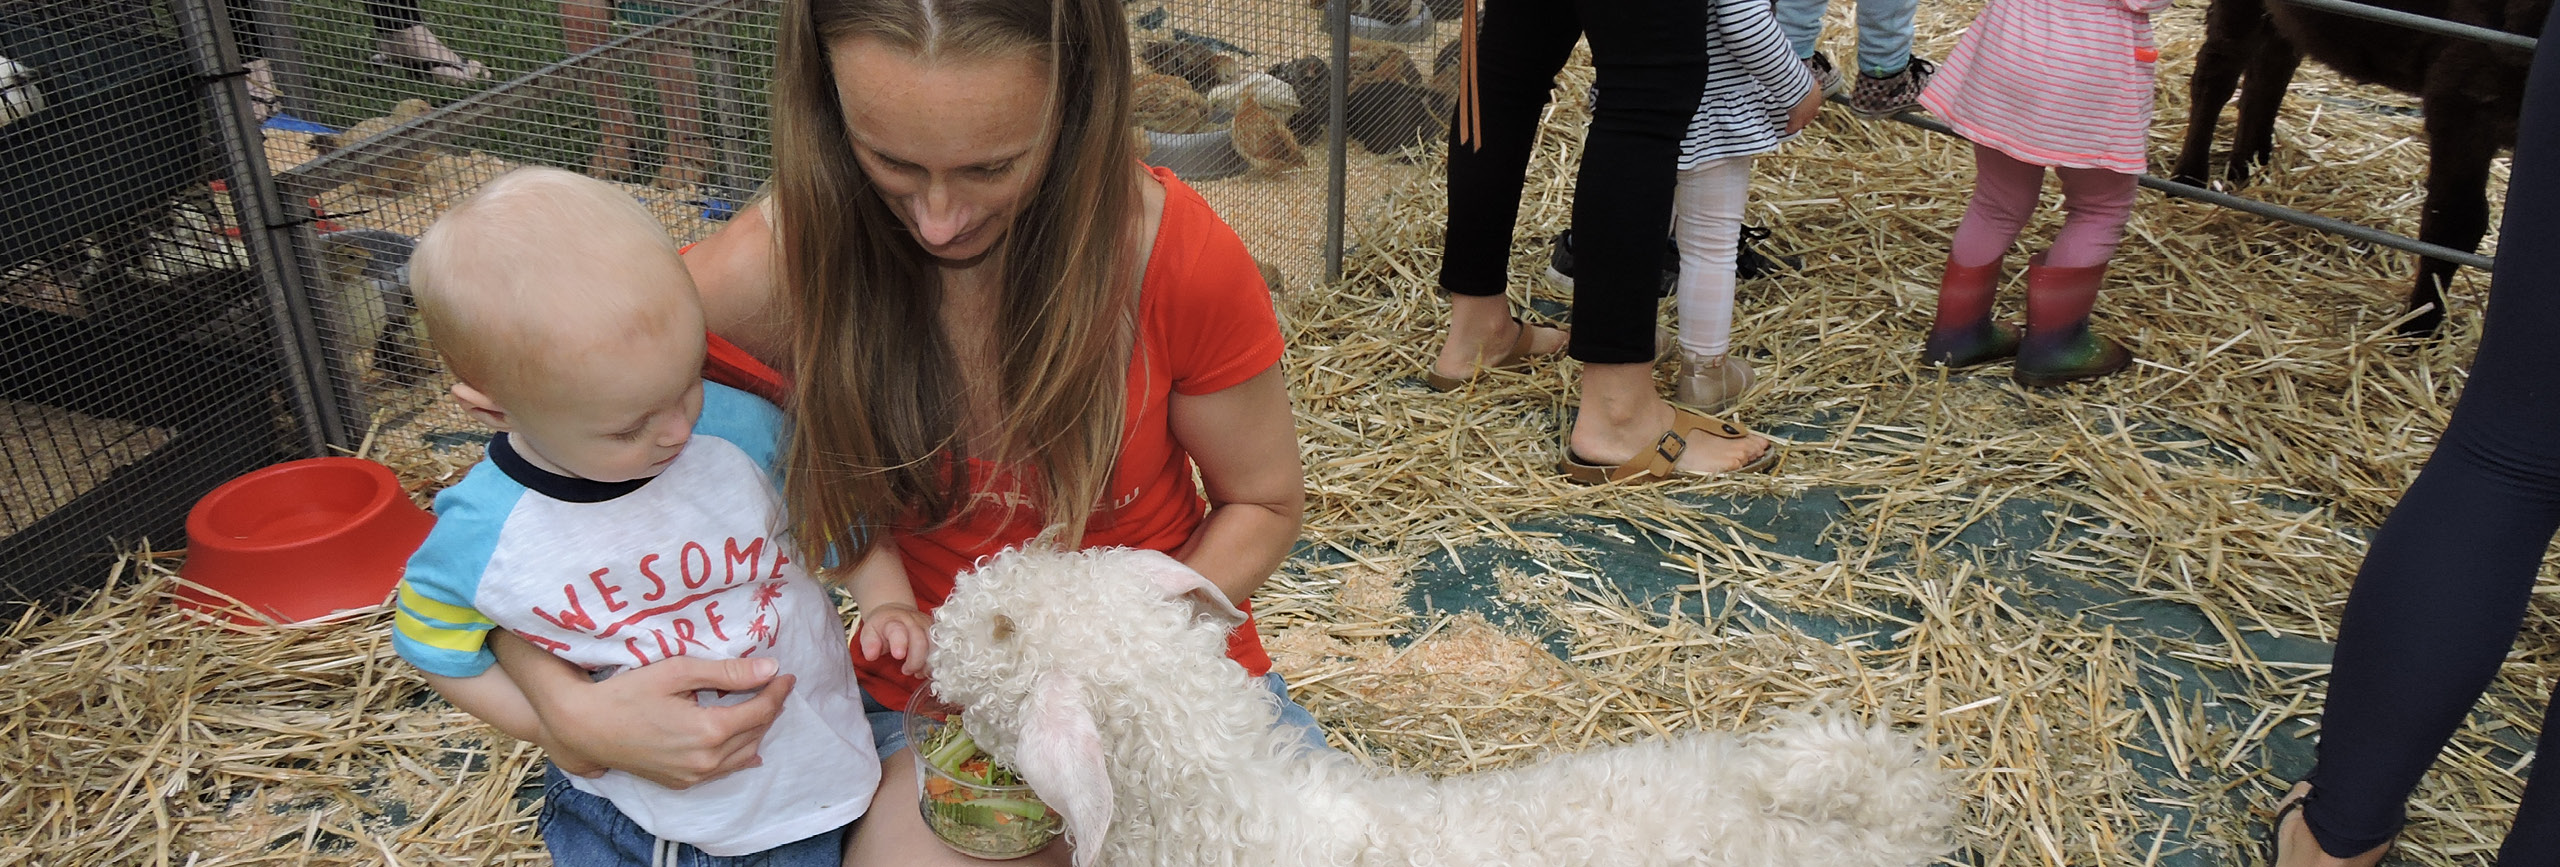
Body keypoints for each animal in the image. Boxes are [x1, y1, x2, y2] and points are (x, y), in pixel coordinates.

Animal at [2170, 0, 2529, 335]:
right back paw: (2189, 178)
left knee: (2271, 63)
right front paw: (2418, 327)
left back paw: (2248, 167)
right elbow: (2455, 223)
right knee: (2218, 70)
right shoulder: (2463, 91)